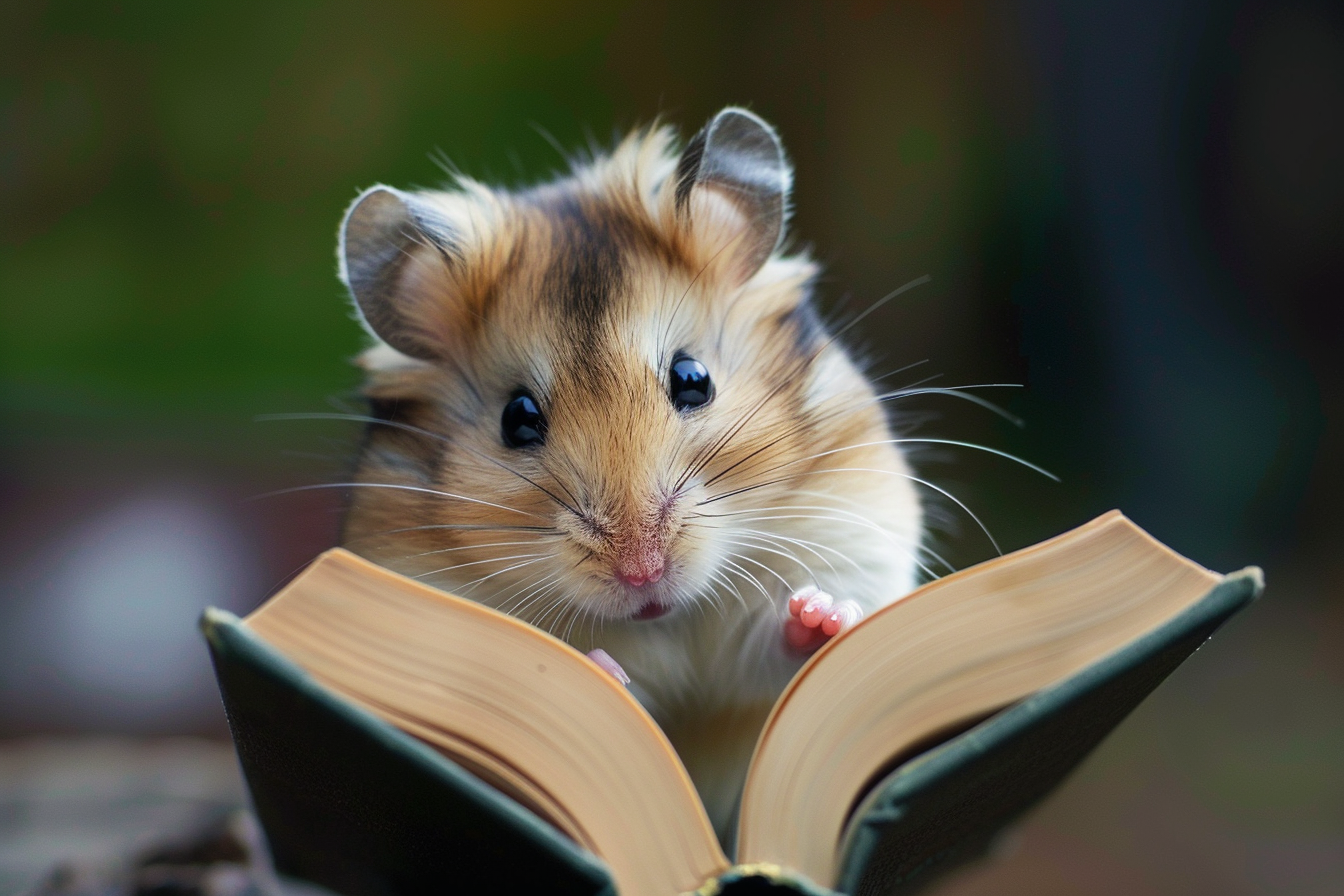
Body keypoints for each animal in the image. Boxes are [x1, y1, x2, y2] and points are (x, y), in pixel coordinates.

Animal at [336, 108, 923, 838]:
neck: (661, 622)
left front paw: (821, 615)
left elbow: (774, 652)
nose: (643, 575)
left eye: (693, 379)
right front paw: (599, 670)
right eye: (517, 418)